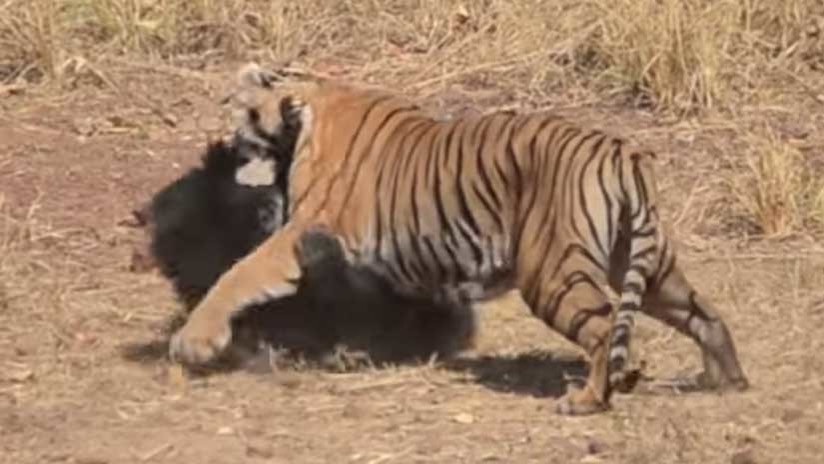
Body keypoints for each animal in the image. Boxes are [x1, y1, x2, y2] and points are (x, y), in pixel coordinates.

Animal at [169, 62, 749, 415]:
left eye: (244, 109)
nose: (225, 142)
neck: (307, 111)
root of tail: (622, 150)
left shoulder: (304, 230)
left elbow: (237, 274)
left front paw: (192, 341)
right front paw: (366, 349)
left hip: (554, 273)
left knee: (606, 329)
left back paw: (588, 399)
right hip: (647, 266)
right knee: (704, 313)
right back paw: (727, 379)